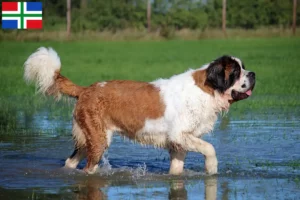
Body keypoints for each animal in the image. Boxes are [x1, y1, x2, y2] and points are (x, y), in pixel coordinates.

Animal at [24, 47, 255, 175]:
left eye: (244, 67)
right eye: (236, 72)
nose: (252, 74)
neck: (208, 89)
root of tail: (86, 89)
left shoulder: (178, 143)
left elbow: (177, 168)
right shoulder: (179, 134)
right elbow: (210, 148)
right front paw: (212, 170)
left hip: (89, 138)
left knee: (71, 161)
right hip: (98, 140)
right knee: (89, 168)